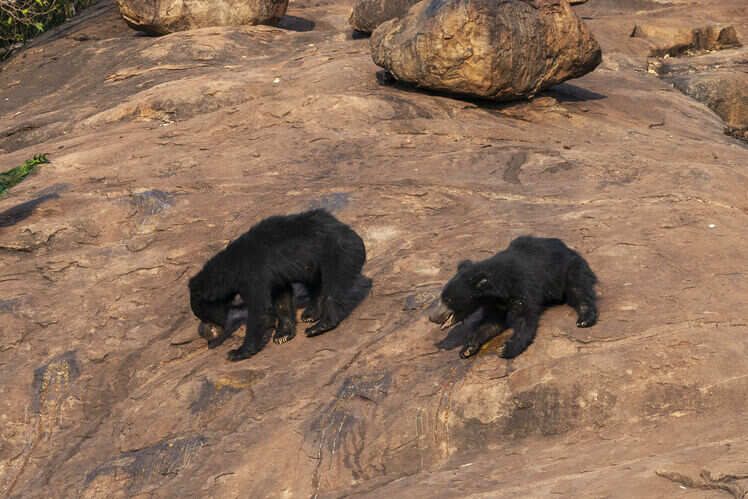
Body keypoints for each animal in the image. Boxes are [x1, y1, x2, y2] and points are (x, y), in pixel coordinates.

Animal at [188, 209, 366, 361]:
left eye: (203, 316)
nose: (207, 336)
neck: (230, 269)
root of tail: (354, 235)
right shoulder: (274, 277)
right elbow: (281, 299)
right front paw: (282, 335)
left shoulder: (253, 274)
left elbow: (260, 310)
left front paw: (236, 352)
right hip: (313, 264)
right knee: (316, 284)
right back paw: (310, 314)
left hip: (340, 254)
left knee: (335, 289)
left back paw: (319, 326)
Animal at [430, 235, 598, 359]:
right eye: (442, 296)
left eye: (448, 299)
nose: (432, 317)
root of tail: (568, 247)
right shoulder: (494, 302)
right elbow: (491, 323)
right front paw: (467, 349)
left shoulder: (523, 285)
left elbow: (525, 318)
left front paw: (506, 349)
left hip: (567, 268)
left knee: (579, 289)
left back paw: (584, 319)